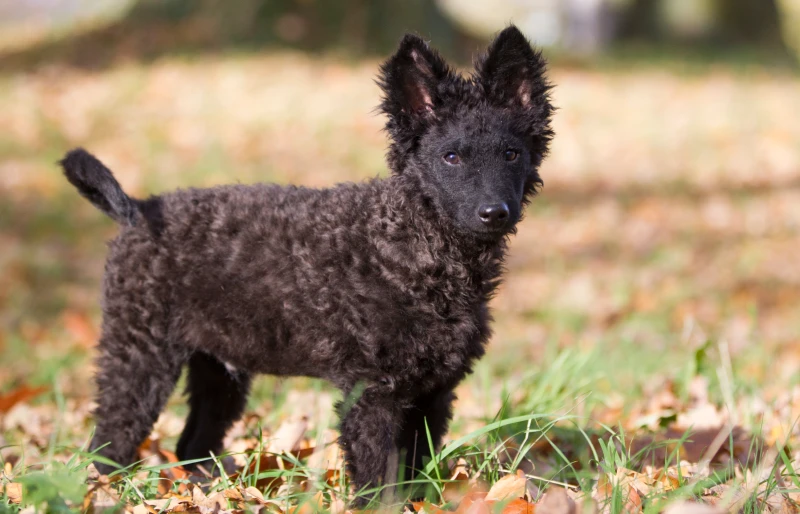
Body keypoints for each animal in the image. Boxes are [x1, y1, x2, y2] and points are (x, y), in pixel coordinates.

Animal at [62, 26, 552, 502]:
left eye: (511, 154)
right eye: (452, 157)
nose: (494, 212)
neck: (417, 253)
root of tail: (139, 210)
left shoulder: (433, 390)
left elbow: (415, 474)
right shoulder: (372, 393)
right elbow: (378, 478)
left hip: (219, 368)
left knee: (191, 447)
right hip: (138, 353)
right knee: (108, 443)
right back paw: (107, 492)